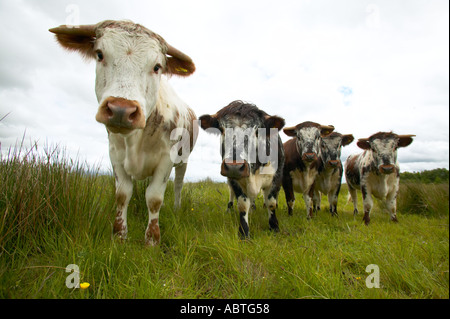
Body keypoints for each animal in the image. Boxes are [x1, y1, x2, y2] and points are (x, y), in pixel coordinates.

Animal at [49, 19, 197, 245]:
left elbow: (154, 198)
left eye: (157, 67)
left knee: (178, 185)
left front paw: (152, 240)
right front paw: (119, 235)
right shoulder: (115, 155)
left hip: (183, 160)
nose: (121, 109)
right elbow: (122, 194)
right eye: (100, 54)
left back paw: (176, 208)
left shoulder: (166, 159)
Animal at [200, 101, 284, 239]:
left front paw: (274, 227)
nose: (234, 166)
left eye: (257, 130)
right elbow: (242, 205)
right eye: (222, 129)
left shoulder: (276, 178)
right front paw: (244, 232)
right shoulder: (235, 181)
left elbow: (271, 203)